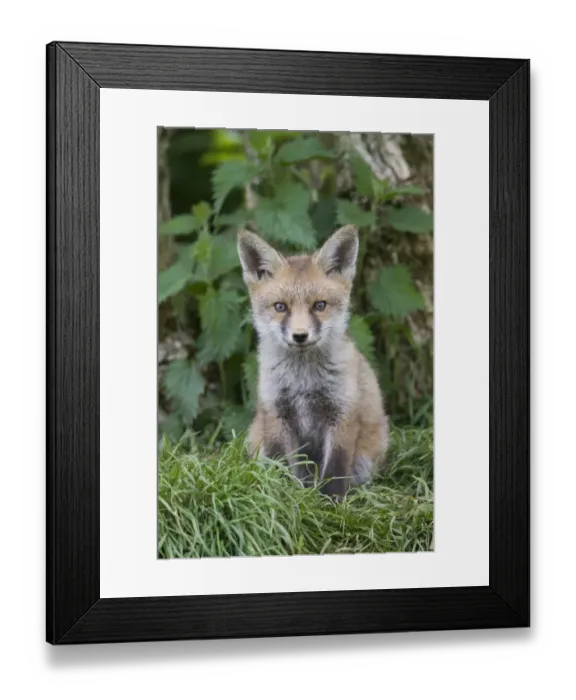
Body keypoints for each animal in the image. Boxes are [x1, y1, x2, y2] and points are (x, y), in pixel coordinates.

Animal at [237, 224, 389, 498]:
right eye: (280, 307)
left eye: (319, 305)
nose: (300, 336)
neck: (303, 381)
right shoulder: (276, 412)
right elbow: (279, 463)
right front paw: (279, 495)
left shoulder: (341, 413)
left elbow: (335, 469)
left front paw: (330, 502)